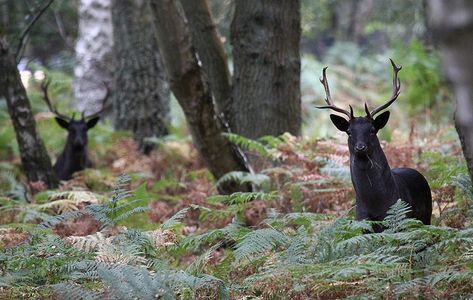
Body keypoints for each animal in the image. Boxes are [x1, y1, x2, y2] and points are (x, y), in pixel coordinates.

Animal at [318, 59, 432, 232]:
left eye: (372, 130)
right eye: (349, 132)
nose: (360, 147)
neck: (376, 205)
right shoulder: (361, 221)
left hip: (427, 217)